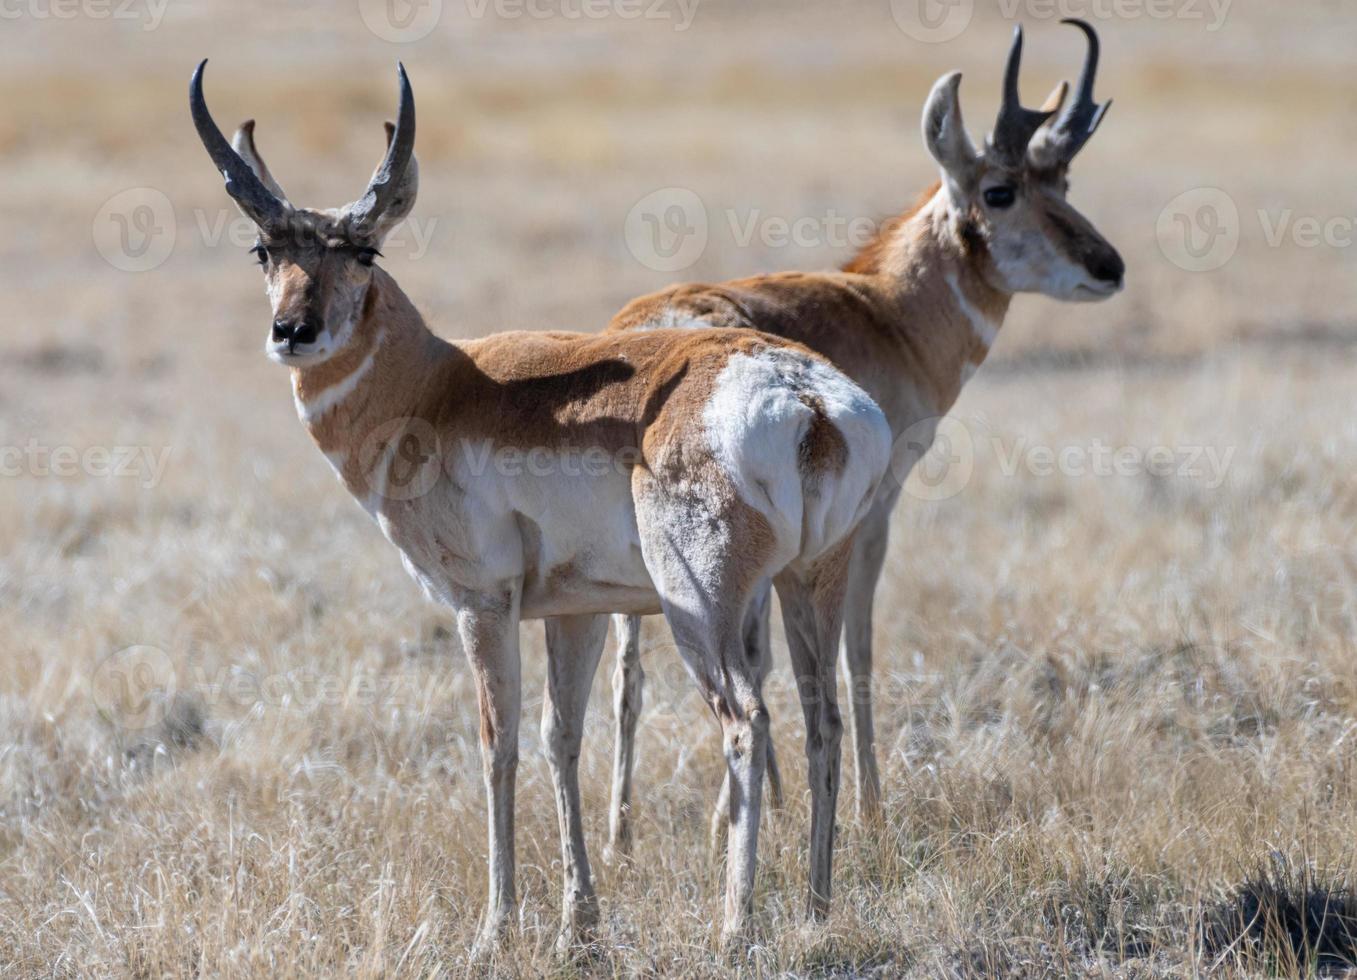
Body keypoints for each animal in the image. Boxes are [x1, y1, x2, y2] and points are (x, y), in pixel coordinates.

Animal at [191, 61, 890, 944]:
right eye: (264, 248)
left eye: (364, 248)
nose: (293, 331)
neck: (443, 385)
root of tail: (805, 398)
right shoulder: (575, 612)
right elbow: (564, 740)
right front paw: (576, 919)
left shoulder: (482, 605)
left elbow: (499, 744)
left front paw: (496, 924)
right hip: (811, 584)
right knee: (822, 718)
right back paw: (814, 909)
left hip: (701, 611)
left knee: (746, 721)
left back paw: (736, 926)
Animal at [607, 19, 1123, 852]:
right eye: (999, 189)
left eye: (1064, 185)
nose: (1108, 265)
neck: (885, 311)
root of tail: (659, 330)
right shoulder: (873, 514)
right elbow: (857, 645)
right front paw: (869, 806)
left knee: (629, 666)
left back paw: (622, 837)